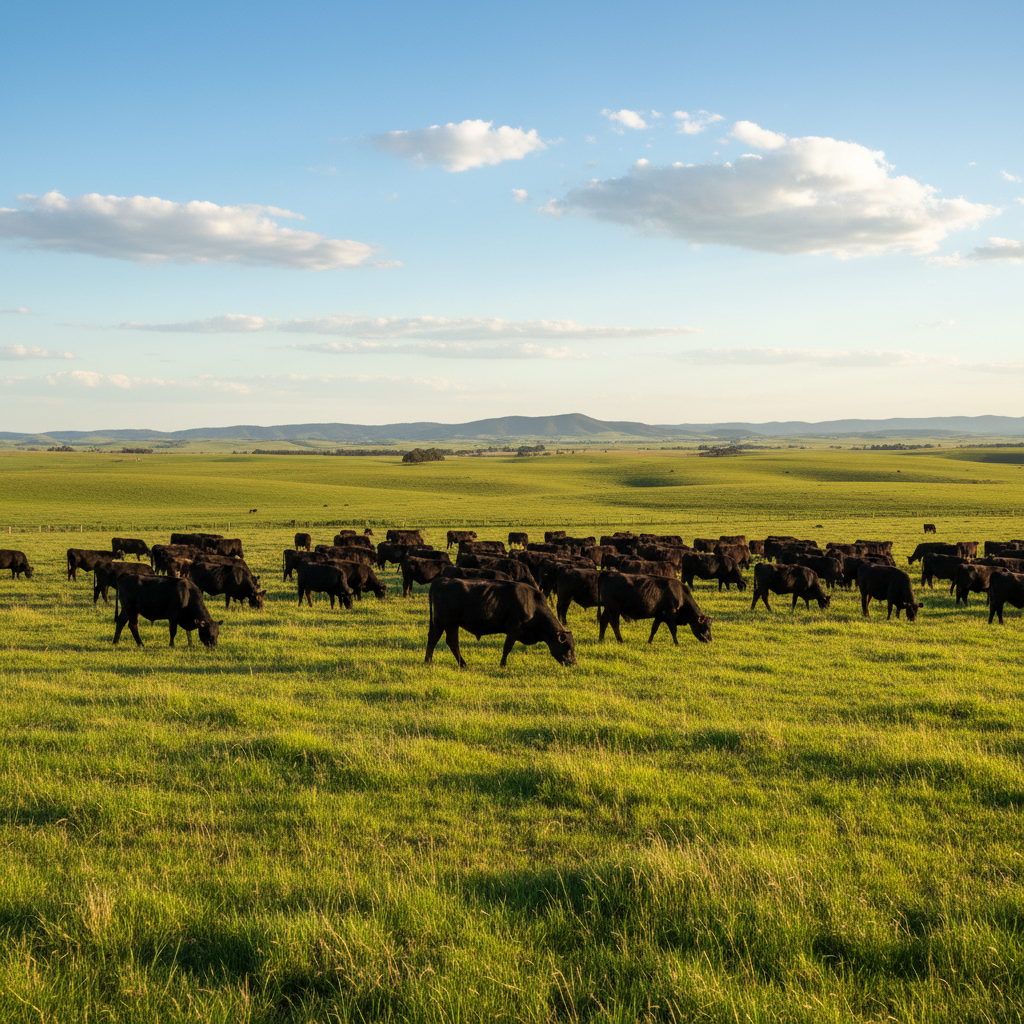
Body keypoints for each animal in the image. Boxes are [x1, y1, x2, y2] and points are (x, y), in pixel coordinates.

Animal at [425, 578, 576, 668]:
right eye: (567, 647)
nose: (573, 663)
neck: (533, 606)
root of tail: (442, 580)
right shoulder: (513, 630)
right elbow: (507, 648)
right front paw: (502, 664)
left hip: (450, 625)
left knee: (449, 642)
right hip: (443, 623)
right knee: (437, 640)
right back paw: (431, 662)